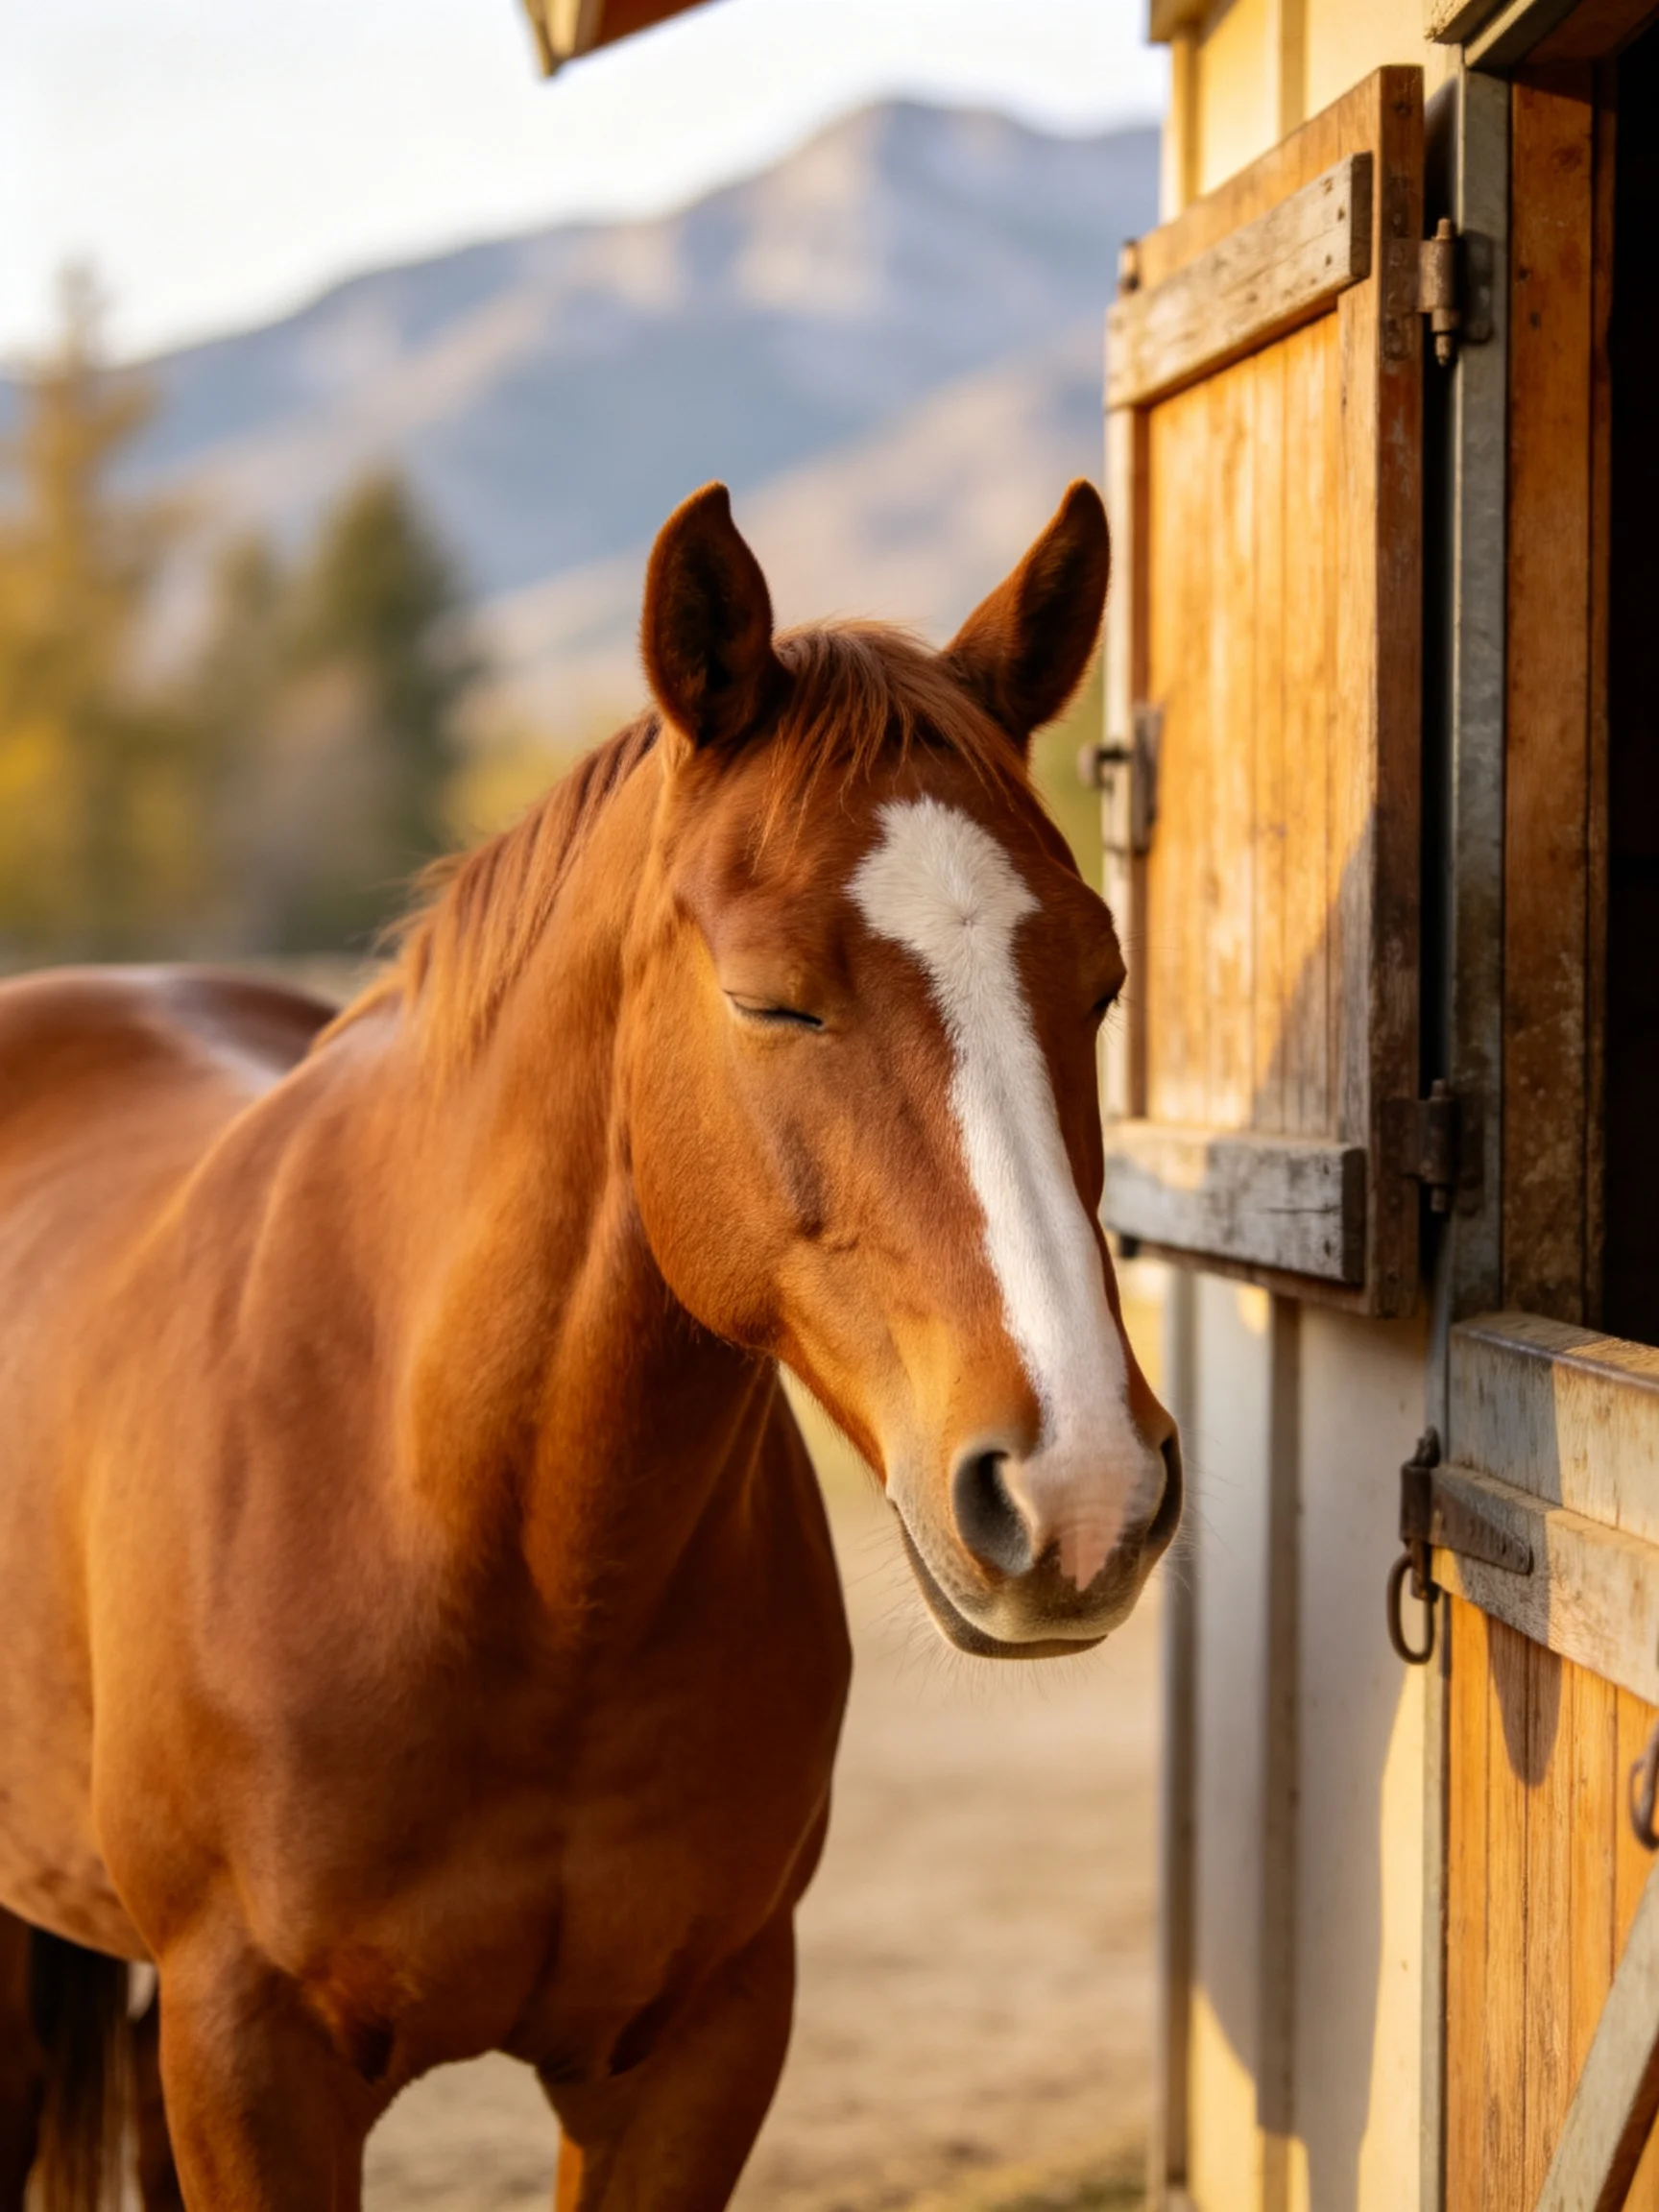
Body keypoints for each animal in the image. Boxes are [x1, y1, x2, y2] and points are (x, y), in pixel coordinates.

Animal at [0, 477, 1179, 2211]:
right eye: (769, 1001)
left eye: (1098, 982)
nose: (1079, 1488)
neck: (490, 1542)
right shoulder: (249, 2059)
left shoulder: (696, 2050)